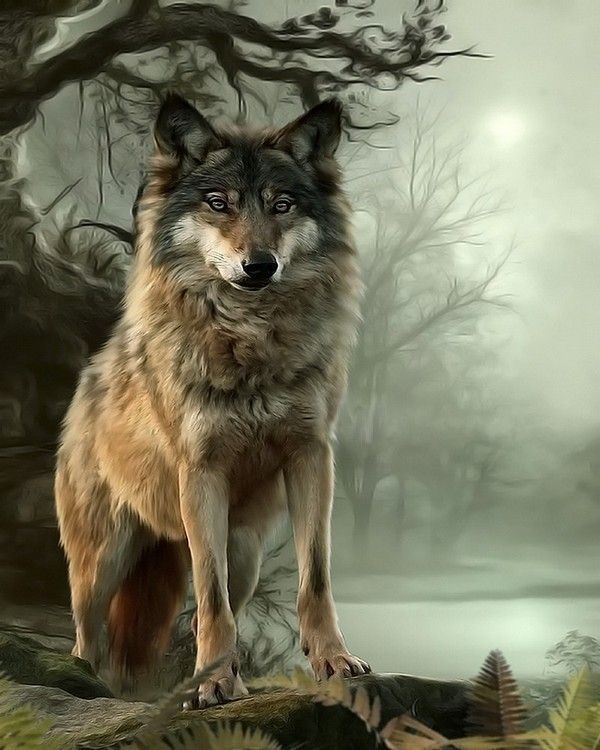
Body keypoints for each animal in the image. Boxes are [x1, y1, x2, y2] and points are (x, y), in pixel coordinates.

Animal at [54, 93, 370, 705]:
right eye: (218, 203)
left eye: (282, 205)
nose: (260, 265)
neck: (250, 339)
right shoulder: (200, 471)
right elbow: (210, 594)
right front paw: (216, 685)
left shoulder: (312, 457)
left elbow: (315, 578)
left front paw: (334, 660)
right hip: (102, 561)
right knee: (89, 637)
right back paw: (93, 685)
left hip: (244, 555)